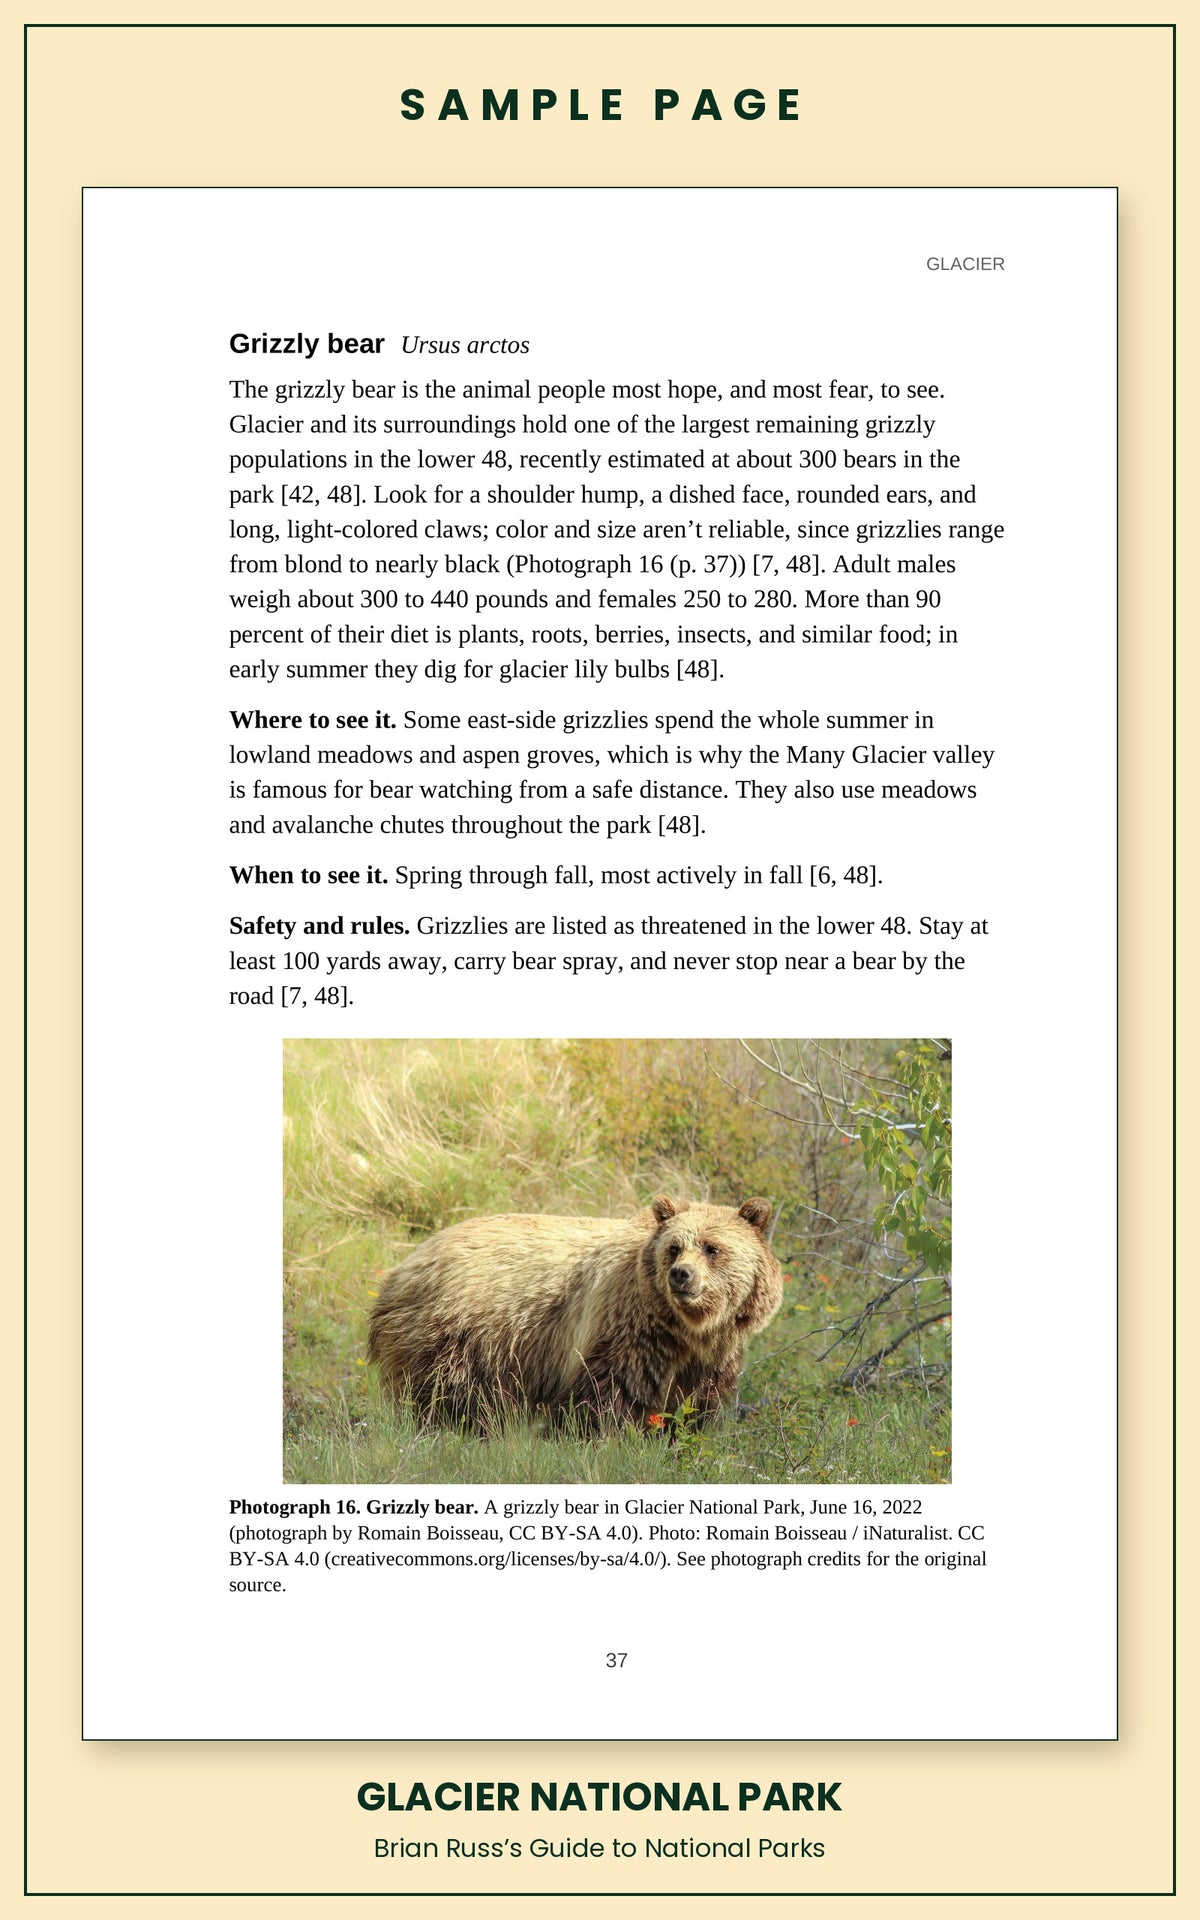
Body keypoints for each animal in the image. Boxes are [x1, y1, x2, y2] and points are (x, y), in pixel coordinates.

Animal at [367, 1194, 783, 1429]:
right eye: (674, 1247)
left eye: (712, 1248)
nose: (681, 1275)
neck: (685, 1327)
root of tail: (402, 1267)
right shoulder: (624, 1328)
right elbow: (607, 1392)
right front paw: (600, 1436)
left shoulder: (710, 1355)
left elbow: (695, 1402)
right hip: (459, 1330)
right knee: (446, 1393)